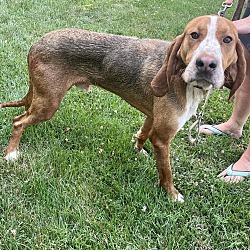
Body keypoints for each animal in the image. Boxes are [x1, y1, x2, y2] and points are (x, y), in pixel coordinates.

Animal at [0, 15, 246, 201]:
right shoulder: (162, 138)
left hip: (42, 100)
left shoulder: (151, 118)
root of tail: (36, 44)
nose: (206, 64)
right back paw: (11, 153)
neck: (181, 76)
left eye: (228, 39)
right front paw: (171, 194)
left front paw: (138, 152)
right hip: (48, 104)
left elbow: (142, 135)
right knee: (18, 121)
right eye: (194, 35)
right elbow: (166, 172)